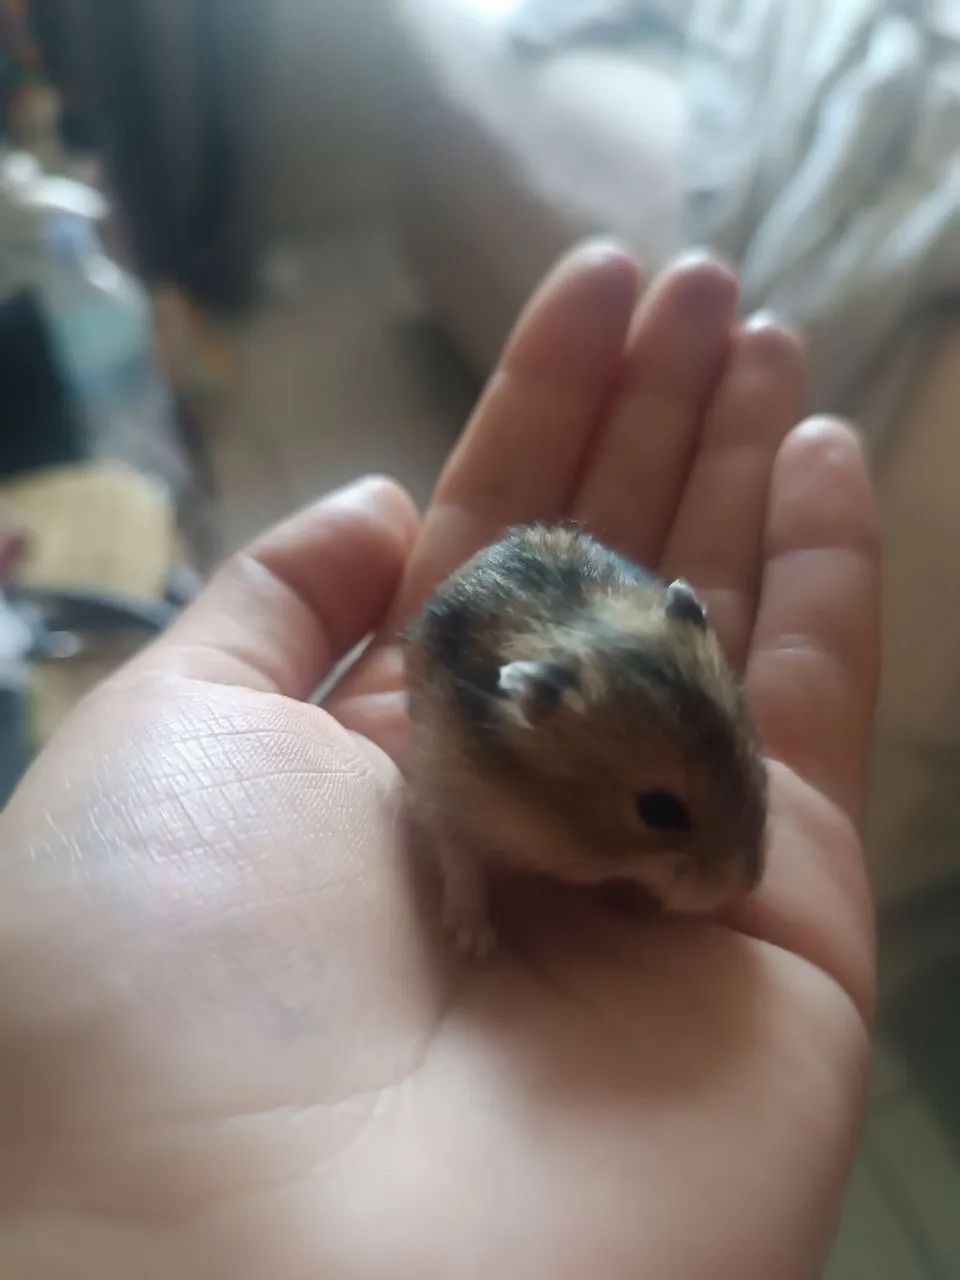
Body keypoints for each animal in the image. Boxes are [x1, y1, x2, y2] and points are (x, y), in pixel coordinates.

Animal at [404, 524, 767, 956]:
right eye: (659, 810)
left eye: (752, 759)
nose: (745, 888)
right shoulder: (444, 785)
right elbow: (459, 858)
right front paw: (475, 944)